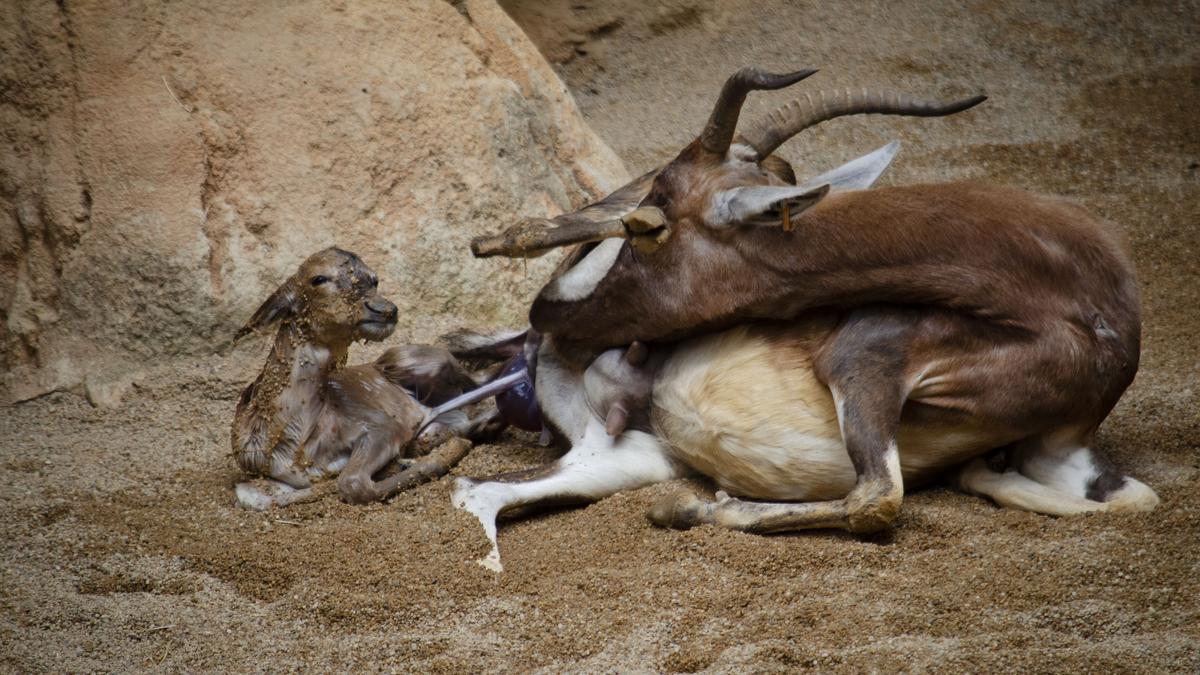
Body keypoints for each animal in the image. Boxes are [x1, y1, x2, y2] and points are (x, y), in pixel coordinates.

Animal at [229, 249, 506, 506]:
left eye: (375, 280)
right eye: (318, 278)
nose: (386, 310)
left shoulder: (380, 426)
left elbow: (352, 484)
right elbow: (256, 496)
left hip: (415, 360)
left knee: (483, 379)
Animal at [446, 68, 1156, 569]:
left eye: (651, 228)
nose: (552, 316)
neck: (1072, 304)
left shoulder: (1058, 444)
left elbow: (1132, 500)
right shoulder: (863, 359)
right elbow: (880, 497)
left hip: (620, 458)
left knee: (479, 489)